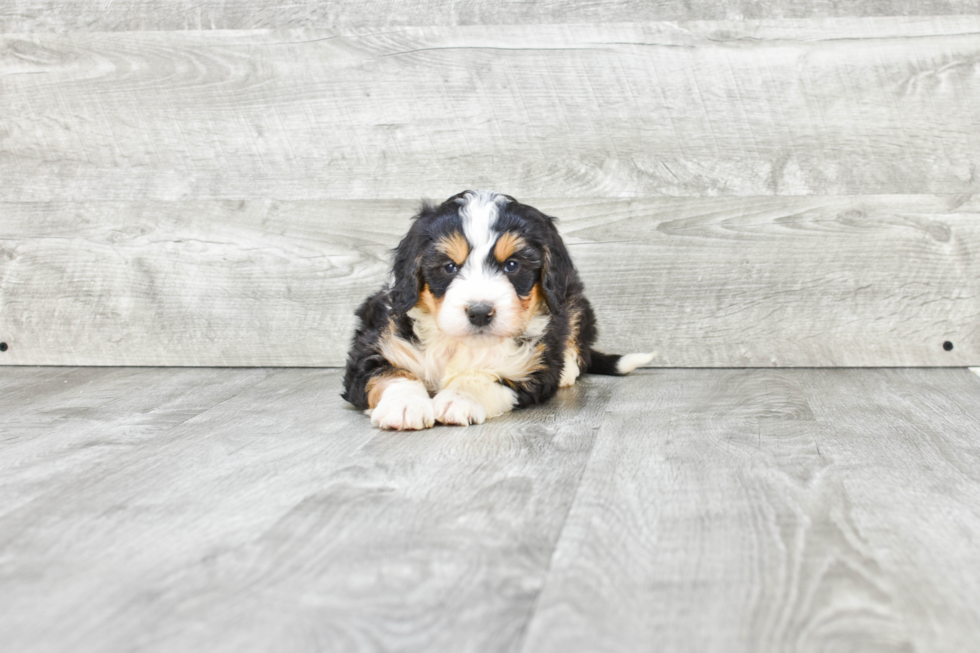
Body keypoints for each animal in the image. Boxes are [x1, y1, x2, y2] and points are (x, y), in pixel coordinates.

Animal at [340, 191, 656, 430]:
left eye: (512, 265)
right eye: (449, 267)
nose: (480, 312)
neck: (460, 344)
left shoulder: (531, 370)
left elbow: (485, 377)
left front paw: (459, 398)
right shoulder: (375, 343)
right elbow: (391, 373)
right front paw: (405, 406)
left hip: (573, 299)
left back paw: (568, 370)